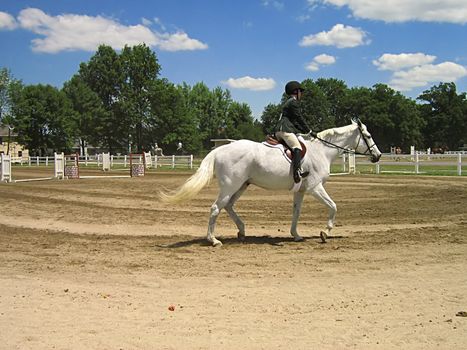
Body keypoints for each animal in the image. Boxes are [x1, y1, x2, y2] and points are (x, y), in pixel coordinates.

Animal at [159, 119, 382, 246]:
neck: (322, 151)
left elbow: (296, 212)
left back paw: (242, 231)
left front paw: (296, 235)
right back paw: (213, 240)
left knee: (228, 206)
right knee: (216, 208)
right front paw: (325, 233)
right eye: (368, 135)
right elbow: (333, 207)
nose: (378, 156)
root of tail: (220, 149)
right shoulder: (315, 188)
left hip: (242, 185)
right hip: (231, 186)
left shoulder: (301, 191)